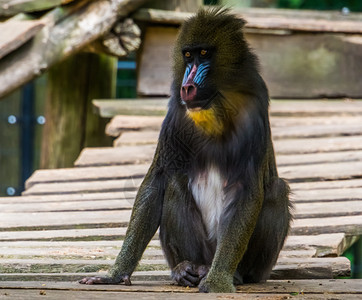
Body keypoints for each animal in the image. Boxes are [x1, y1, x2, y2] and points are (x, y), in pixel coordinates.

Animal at [79, 8, 292, 292]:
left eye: (204, 54)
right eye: (188, 56)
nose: (188, 86)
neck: (216, 107)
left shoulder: (253, 109)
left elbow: (247, 189)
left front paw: (218, 281)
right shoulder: (176, 115)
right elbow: (157, 179)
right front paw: (114, 274)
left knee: (277, 190)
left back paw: (231, 274)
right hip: (200, 249)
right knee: (174, 183)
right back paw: (185, 269)